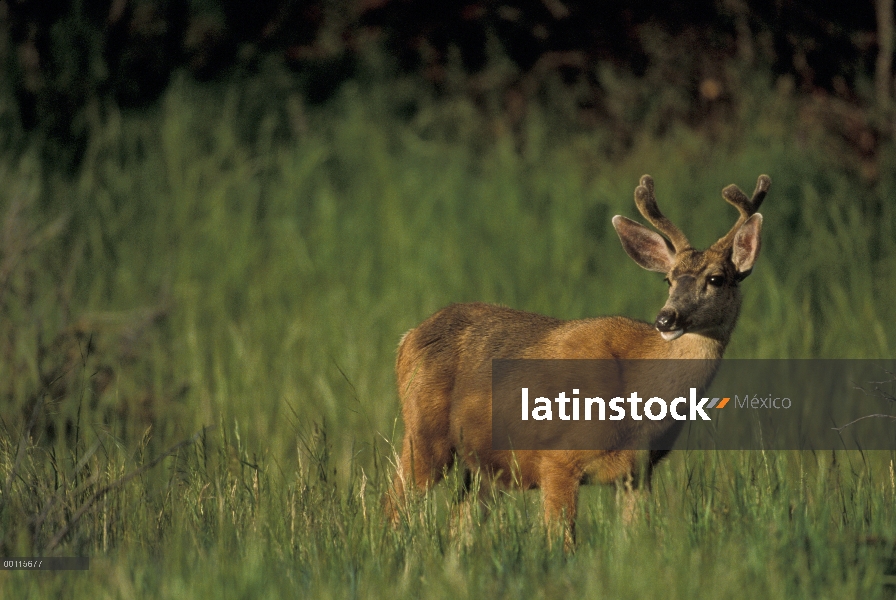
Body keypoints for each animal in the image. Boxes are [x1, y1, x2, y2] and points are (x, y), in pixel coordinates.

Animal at [384, 173, 768, 548]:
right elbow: (561, 543)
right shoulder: (557, 457)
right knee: (396, 501)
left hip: (481, 464)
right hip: (424, 432)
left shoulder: (638, 472)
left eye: (717, 279)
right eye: (668, 279)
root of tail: (407, 338)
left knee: (458, 520)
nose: (666, 318)